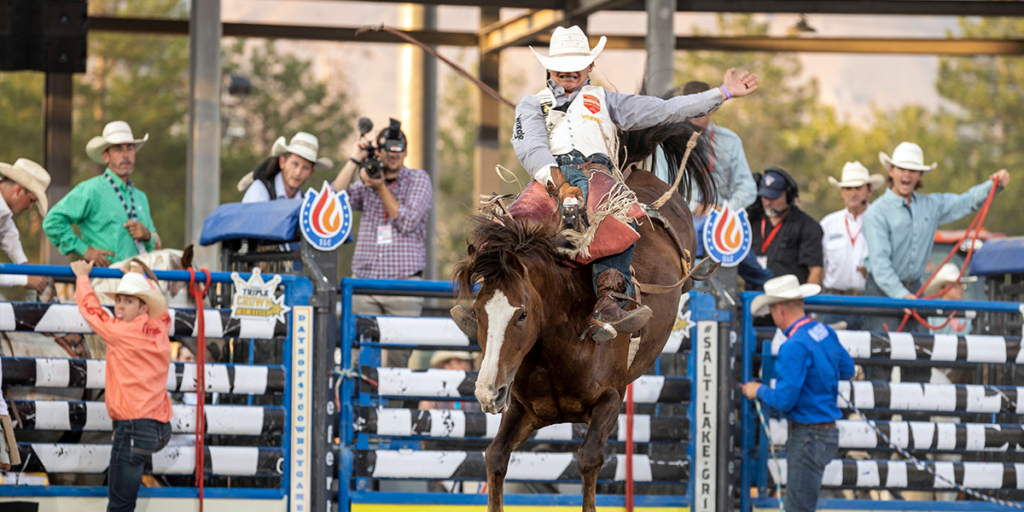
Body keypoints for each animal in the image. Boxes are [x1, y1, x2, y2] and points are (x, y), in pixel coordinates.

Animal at [452, 120, 716, 512]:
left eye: (522, 314)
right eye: (481, 313)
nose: (488, 392)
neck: (557, 346)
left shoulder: (610, 399)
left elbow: (589, 459)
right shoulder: (523, 410)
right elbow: (495, 457)